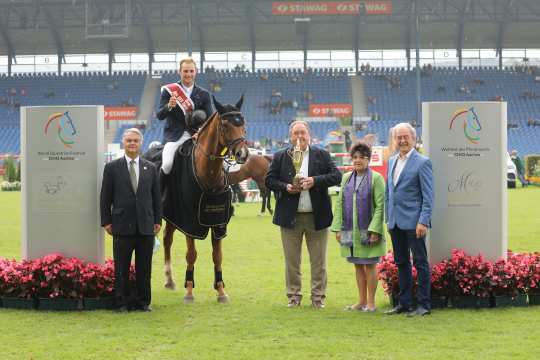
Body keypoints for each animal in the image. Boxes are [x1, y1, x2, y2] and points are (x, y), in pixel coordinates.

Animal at [160, 95, 249, 304]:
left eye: (243, 124)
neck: (209, 173)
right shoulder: (190, 222)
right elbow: (191, 255)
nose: (242, 154)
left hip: (172, 217)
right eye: (225, 125)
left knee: (167, 240)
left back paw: (170, 280)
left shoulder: (218, 223)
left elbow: (217, 256)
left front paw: (221, 291)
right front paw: (189, 291)